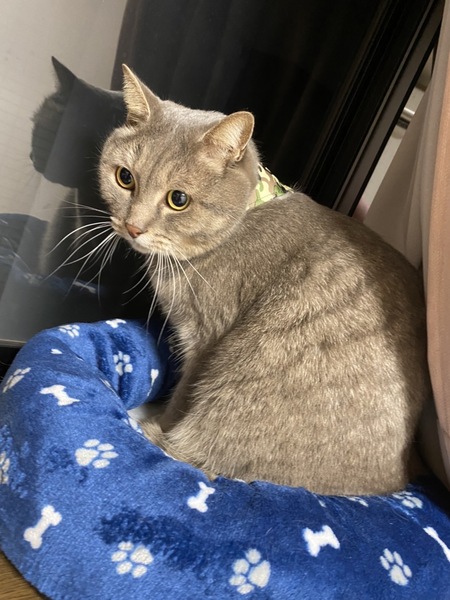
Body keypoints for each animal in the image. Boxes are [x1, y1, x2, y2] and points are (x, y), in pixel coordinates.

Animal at [98, 65, 431, 495]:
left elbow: (181, 398)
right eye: (125, 178)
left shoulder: (204, 342)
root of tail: (402, 476)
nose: (132, 227)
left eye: (178, 200)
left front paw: (163, 419)